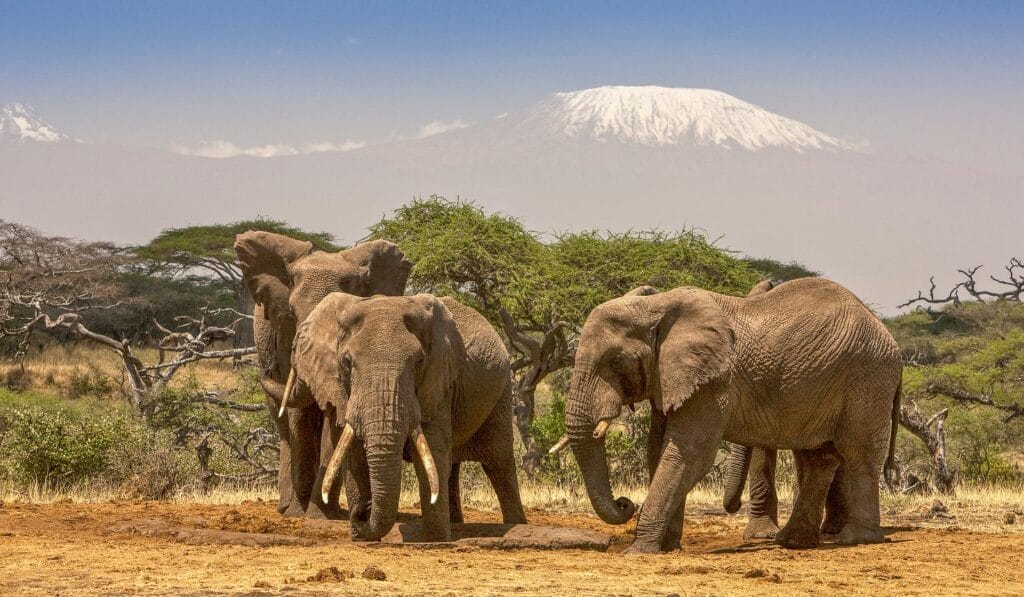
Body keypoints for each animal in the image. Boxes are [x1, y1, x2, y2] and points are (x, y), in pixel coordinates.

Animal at [233, 230, 412, 518]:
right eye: (291, 313)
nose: (266, 370)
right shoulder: (286, 335)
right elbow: (300, 417)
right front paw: (298, 514)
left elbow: (333, 413)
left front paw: (320, 514)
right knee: (284, 427)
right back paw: (285, 507)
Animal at [289, 292, 527, 541]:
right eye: (346, 362)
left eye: (419, 361)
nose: (364, 508)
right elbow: (354, 456)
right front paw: (361, 537)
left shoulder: (438, 380)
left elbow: (431, 453)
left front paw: (433, 538)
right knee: (454, 467)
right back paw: (455, 524)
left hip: (502, 392)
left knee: (499, 465)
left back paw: (515, 524)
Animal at [565, 277, 902, 553]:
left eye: (616, 361)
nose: (625, 503)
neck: (655, 307)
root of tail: (888, 335)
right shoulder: (672, 377)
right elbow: (658, 449)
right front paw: (668, 547)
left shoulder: (713, 380)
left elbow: (690, 453)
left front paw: (640, 551)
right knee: (819, 456)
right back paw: (793, 542)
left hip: (868, 378)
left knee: (858, 454)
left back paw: (857, 538)